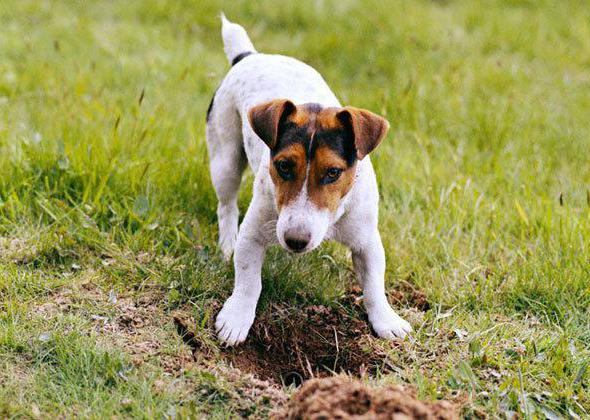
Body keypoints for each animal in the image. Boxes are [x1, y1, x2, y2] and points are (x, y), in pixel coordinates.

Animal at [207, 15, 412, 344]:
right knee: (226, 206)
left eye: (333, 173)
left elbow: (374, 285)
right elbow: (249, 280)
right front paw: (237, 317)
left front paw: (386, 320)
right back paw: (227, 244)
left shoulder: (367, 240)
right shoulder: (253, 234)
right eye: (283, 166)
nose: (295, 241)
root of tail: (250, 56)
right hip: (224, 158)